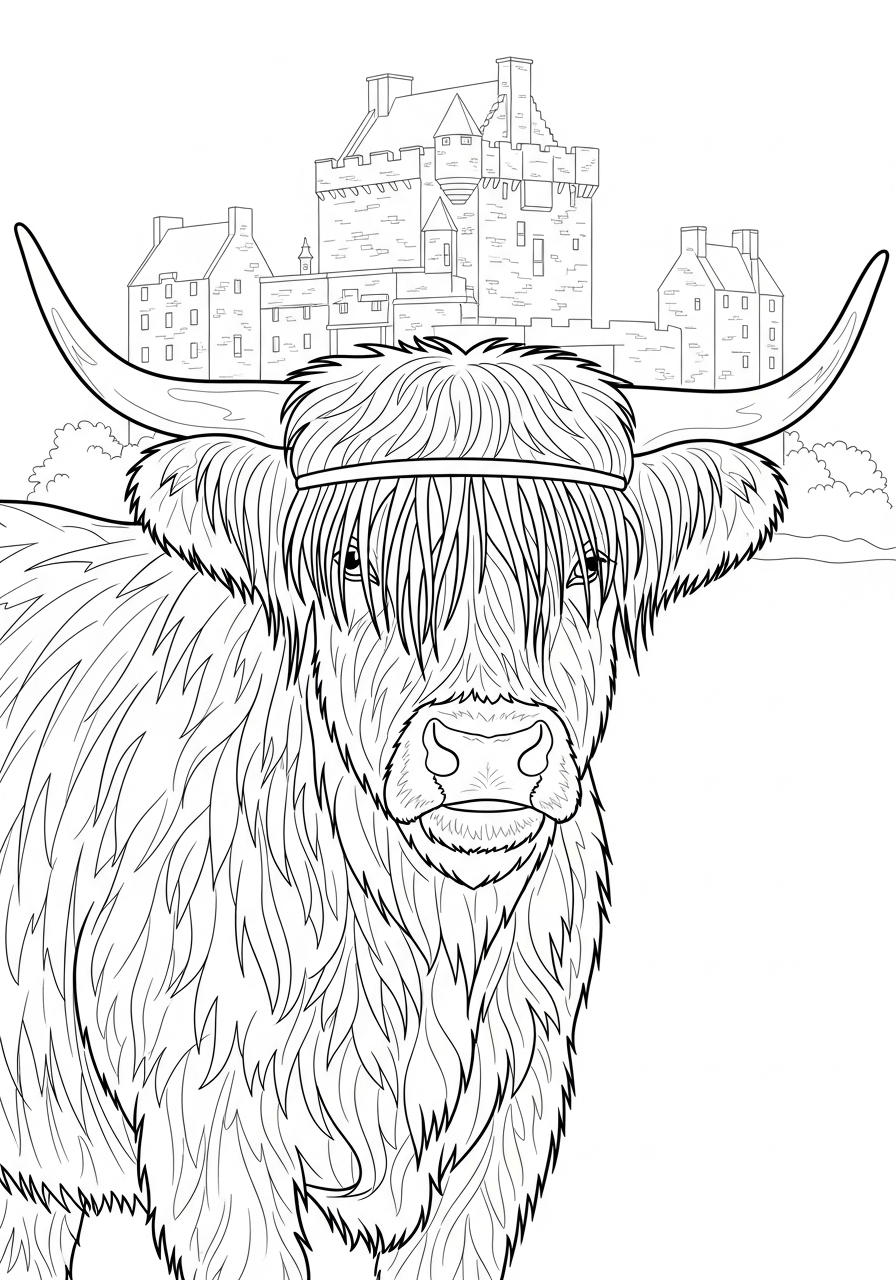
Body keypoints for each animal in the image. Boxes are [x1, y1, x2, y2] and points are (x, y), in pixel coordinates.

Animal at [0, 225, 886, 1280]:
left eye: (589, 565)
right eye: (351, 560)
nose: (490, 750)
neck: (431, 935)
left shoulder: (507, 1125)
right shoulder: (208, 1125)